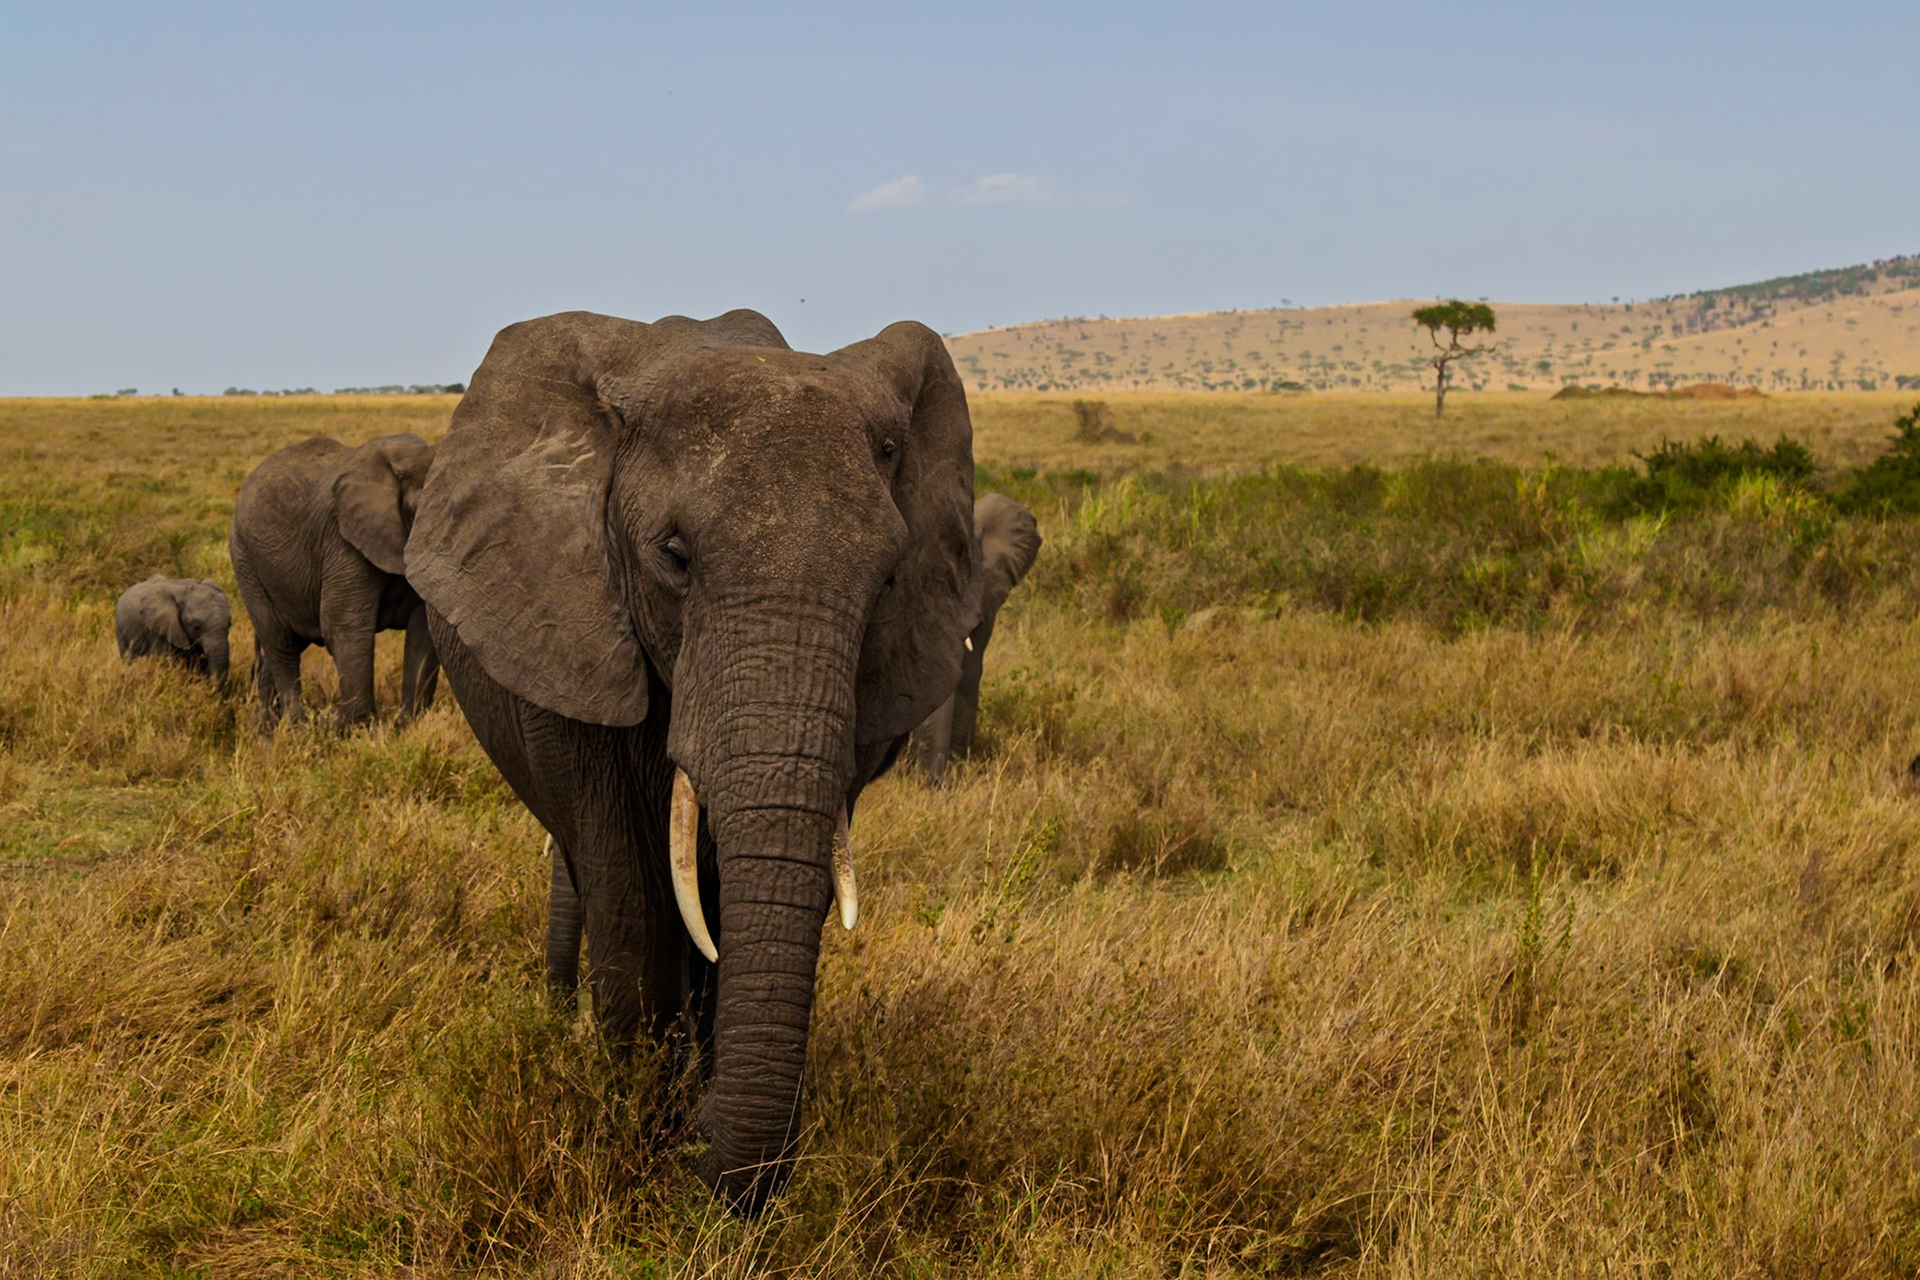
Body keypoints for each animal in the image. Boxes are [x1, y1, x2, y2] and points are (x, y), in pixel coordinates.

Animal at [229, 433, 441, 730]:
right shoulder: (342, 542)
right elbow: (344, 624)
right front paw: (355, 728)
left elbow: (423, 631)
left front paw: (406, 727)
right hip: (245, 558)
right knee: (279, 640)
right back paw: (297, 727)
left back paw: (266, 727)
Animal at [406, 309, 979, 1208]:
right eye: (673, 558)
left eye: (889, 581)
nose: (706, 1166)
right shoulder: (571, 629)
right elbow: (636, 901)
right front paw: (637, 1142)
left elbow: (748, 903)